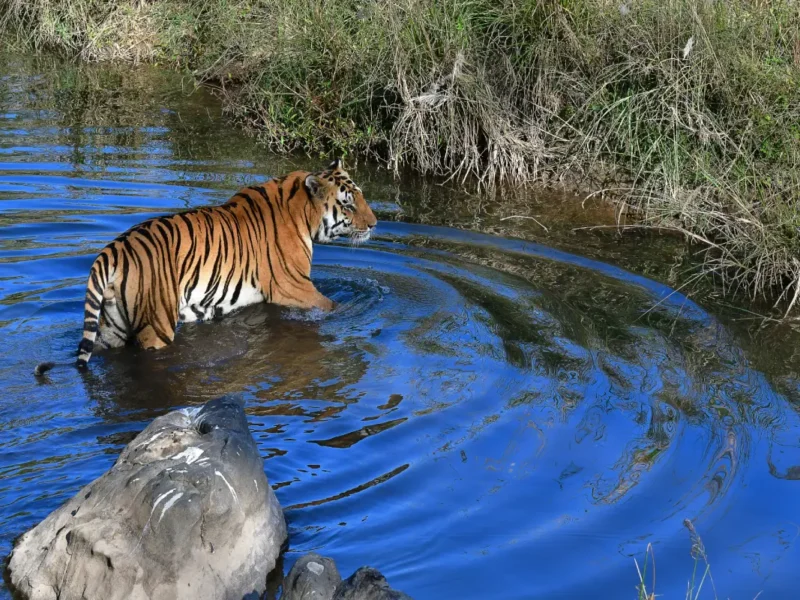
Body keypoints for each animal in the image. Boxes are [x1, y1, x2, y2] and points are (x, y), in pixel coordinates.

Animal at [34, 159, 376, 376]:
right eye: (347, 203)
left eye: (360, 196)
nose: (374, 223)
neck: (303, 214)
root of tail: (113, 250)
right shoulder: (295, 286)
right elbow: (333, 306)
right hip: (156, 324)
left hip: (113, 325)